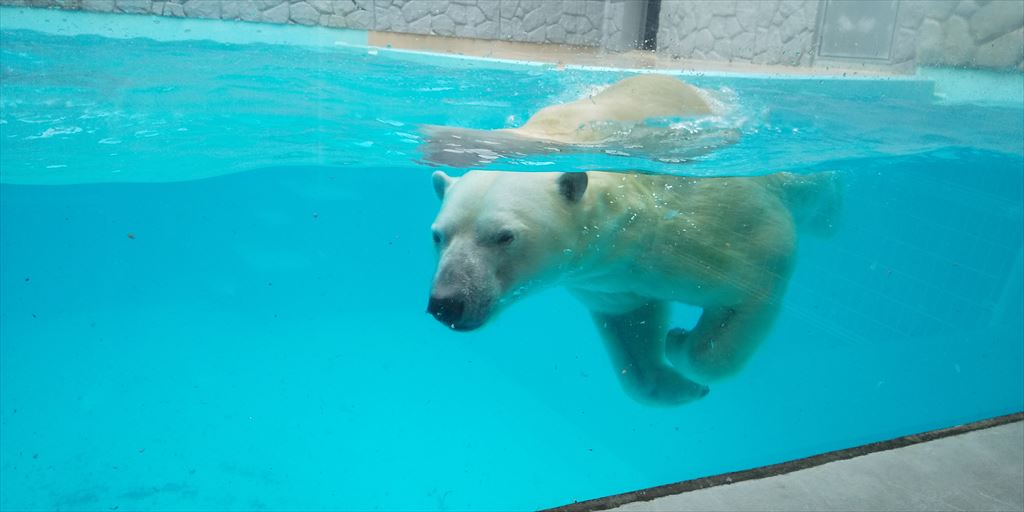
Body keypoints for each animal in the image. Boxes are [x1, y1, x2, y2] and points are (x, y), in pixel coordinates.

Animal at [423, 169, 839, 405]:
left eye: (504, 236)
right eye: (438, 235)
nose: (447, 303)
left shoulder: (711, 234)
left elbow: (755, 280)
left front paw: (680, 342)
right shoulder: (609, 281)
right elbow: (632, 331)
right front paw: (681, 385)